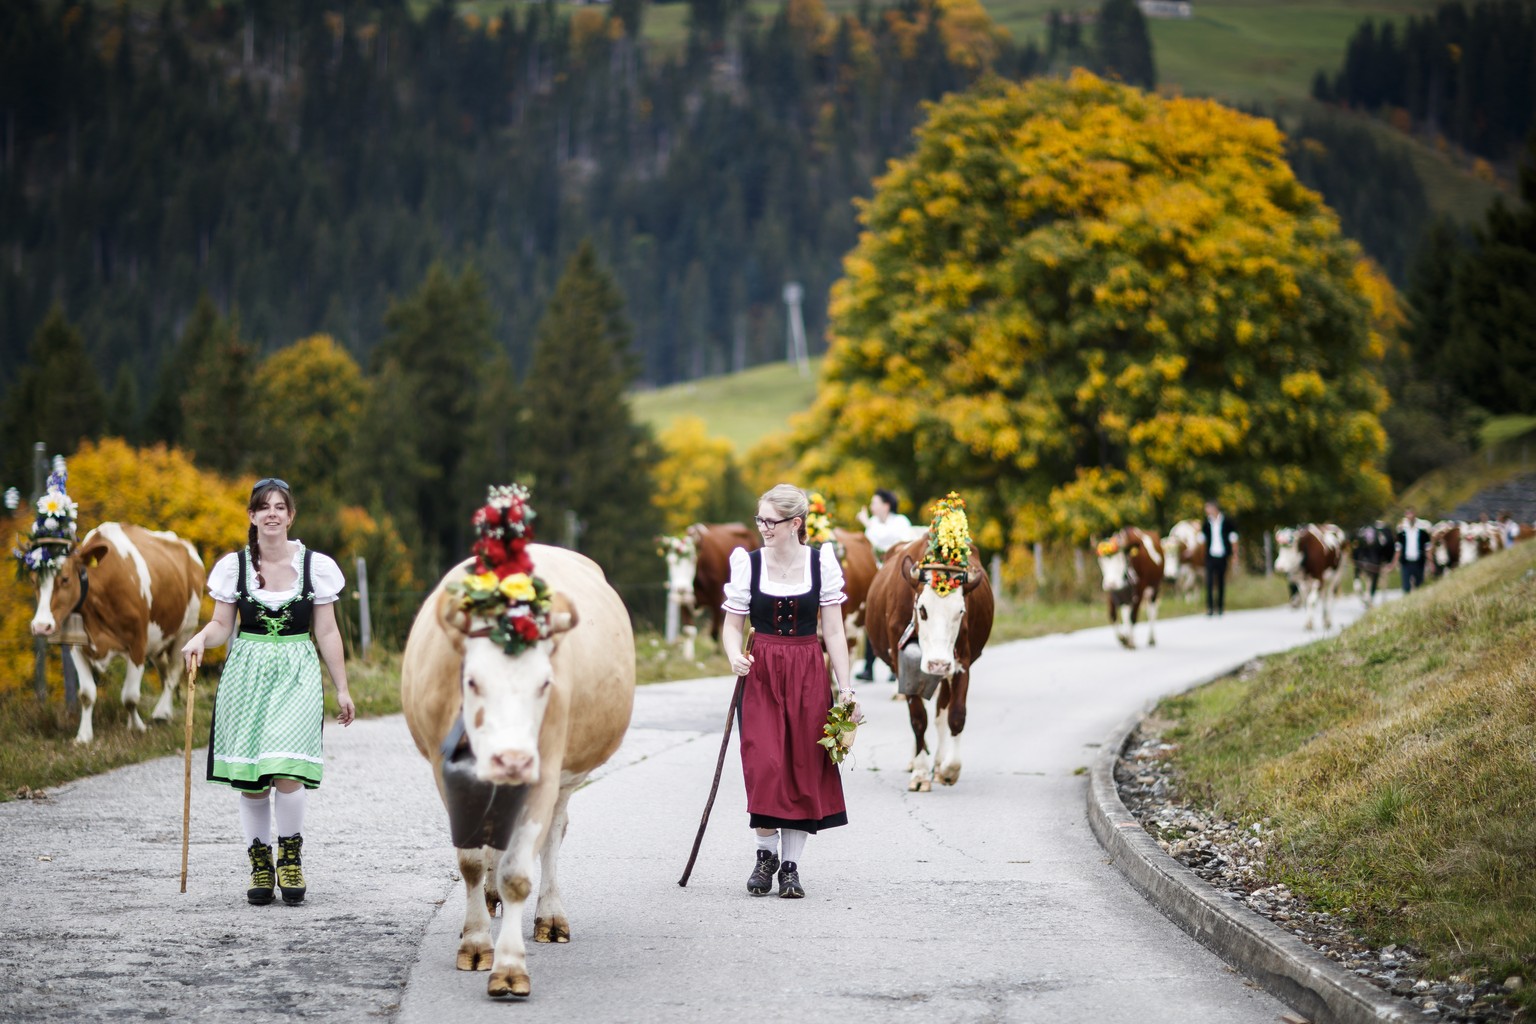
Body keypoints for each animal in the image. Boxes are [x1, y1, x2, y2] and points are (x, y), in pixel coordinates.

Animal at [21, 463, 205, 746]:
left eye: (65, 578)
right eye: (33, 580)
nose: (41, 626)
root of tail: (186, 547)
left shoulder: (137, 642)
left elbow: (130, 696)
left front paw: (137, 727)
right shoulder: (77, 645)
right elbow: (87, 694)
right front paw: (84, 736)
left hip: (185, 630)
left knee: (173, 672)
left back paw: (162, 713)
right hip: (160, 637)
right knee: (165, 672)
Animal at [402, 485, 635, 994]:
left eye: (545, 684)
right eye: (472, 680)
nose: (511, 758)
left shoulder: (545, 768)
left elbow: (519, 871)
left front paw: (509, 967)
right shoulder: (445, 771)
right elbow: (471, 860)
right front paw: (475, 942)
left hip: (565, 776)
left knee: (554, 835)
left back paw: (550, 916)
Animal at [866, 494, 995, 792]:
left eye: (961, 611)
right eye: (922, 609)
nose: (937, 663)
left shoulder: (961, 662)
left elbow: (956, 715)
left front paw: (948, 769)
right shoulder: (904, 664)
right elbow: (917, 719)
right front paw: (920, 773)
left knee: (940, 712)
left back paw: (937, 761)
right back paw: (916, 761)